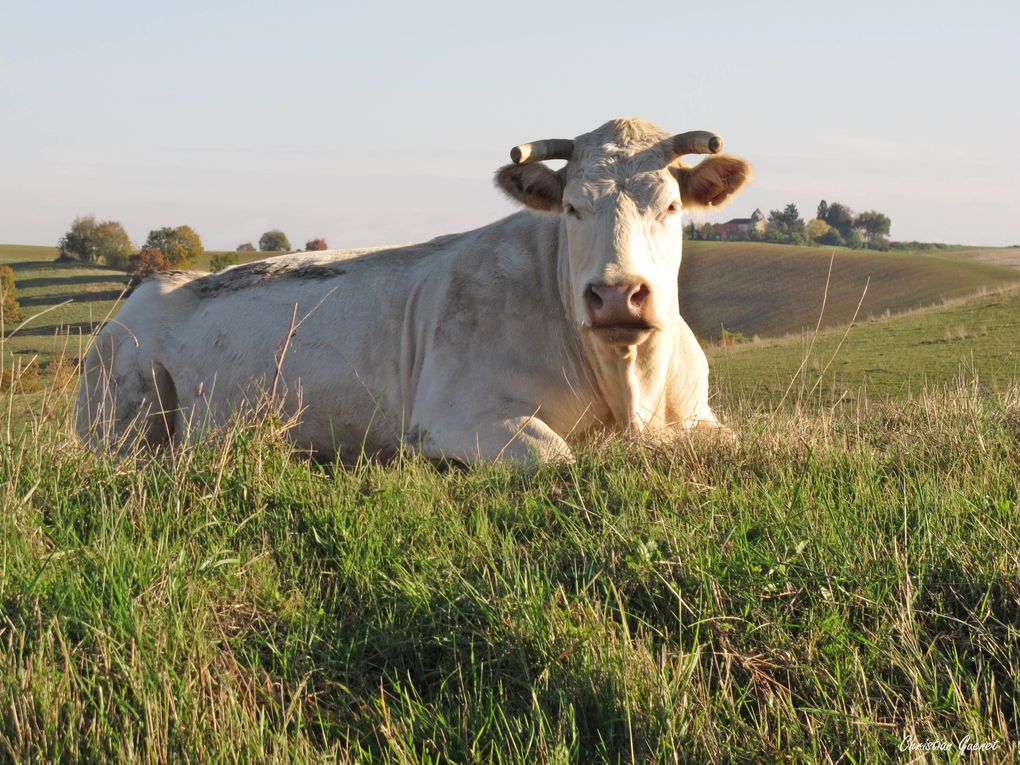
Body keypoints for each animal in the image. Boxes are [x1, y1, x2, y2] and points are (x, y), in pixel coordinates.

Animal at [77, 117, 750, 465]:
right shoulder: (453, 413)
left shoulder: (701, 415)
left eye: (670, 206)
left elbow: (731, 438)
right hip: (124, 414)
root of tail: (156, 284)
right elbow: (556, 454)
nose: (616, 295)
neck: (631, 391)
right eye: (572, 208)